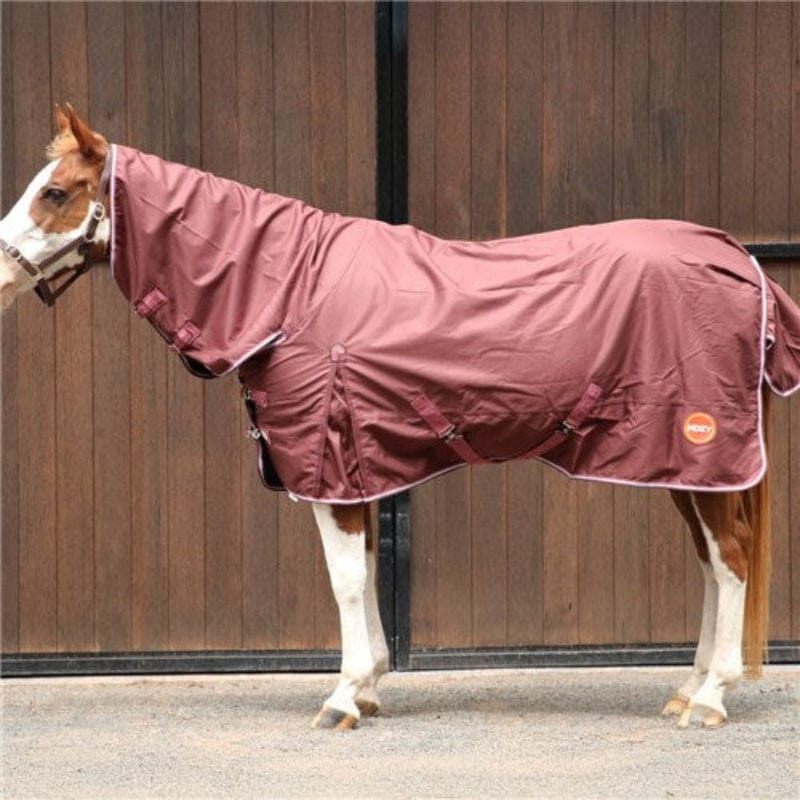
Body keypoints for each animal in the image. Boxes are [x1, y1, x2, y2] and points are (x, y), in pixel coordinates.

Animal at [2, 105, 798, 731]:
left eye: (56, 192)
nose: (2, 270)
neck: (291, 292)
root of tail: (740, 261)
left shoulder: (329, 470)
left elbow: (346, 580)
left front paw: (344, 696)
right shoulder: (359, 470)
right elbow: (366, 571)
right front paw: (371, 684)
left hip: (702, 457)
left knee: (730, 560)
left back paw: (711, 698)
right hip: (682, 468)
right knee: (713, 562)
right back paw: (688, 689)